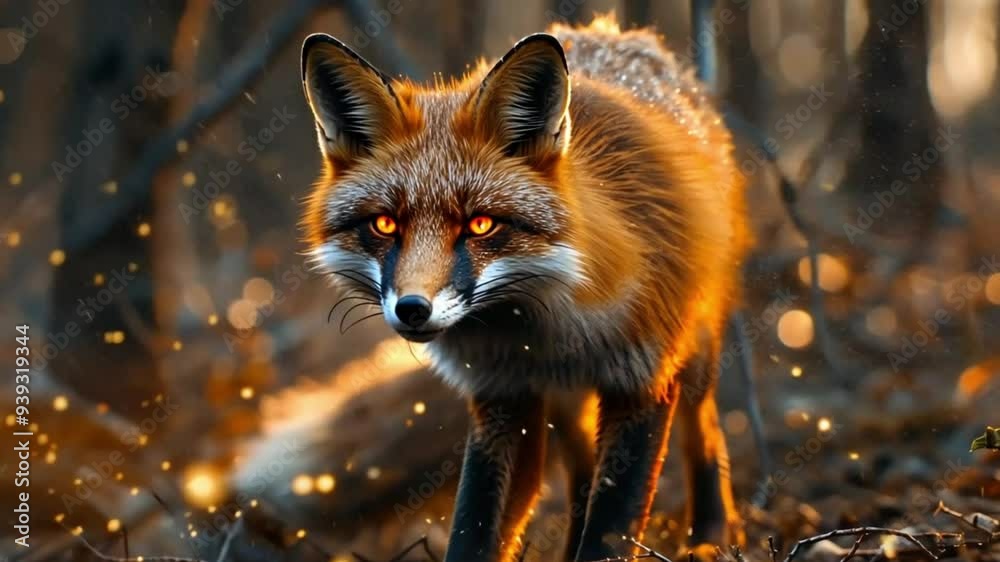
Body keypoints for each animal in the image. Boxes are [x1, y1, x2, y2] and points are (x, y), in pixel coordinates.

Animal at [300, 15, 749, 562]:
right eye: (385, 225)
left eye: (480, 225)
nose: (412, 309)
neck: (541, 332)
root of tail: (614, 32)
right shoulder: (501, 394)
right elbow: (474, 527)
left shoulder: (642, 378)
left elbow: (611, 527)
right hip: (566, 408)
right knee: (579, 479)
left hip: (695, 350)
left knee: (703, 430)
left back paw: (711, 534)